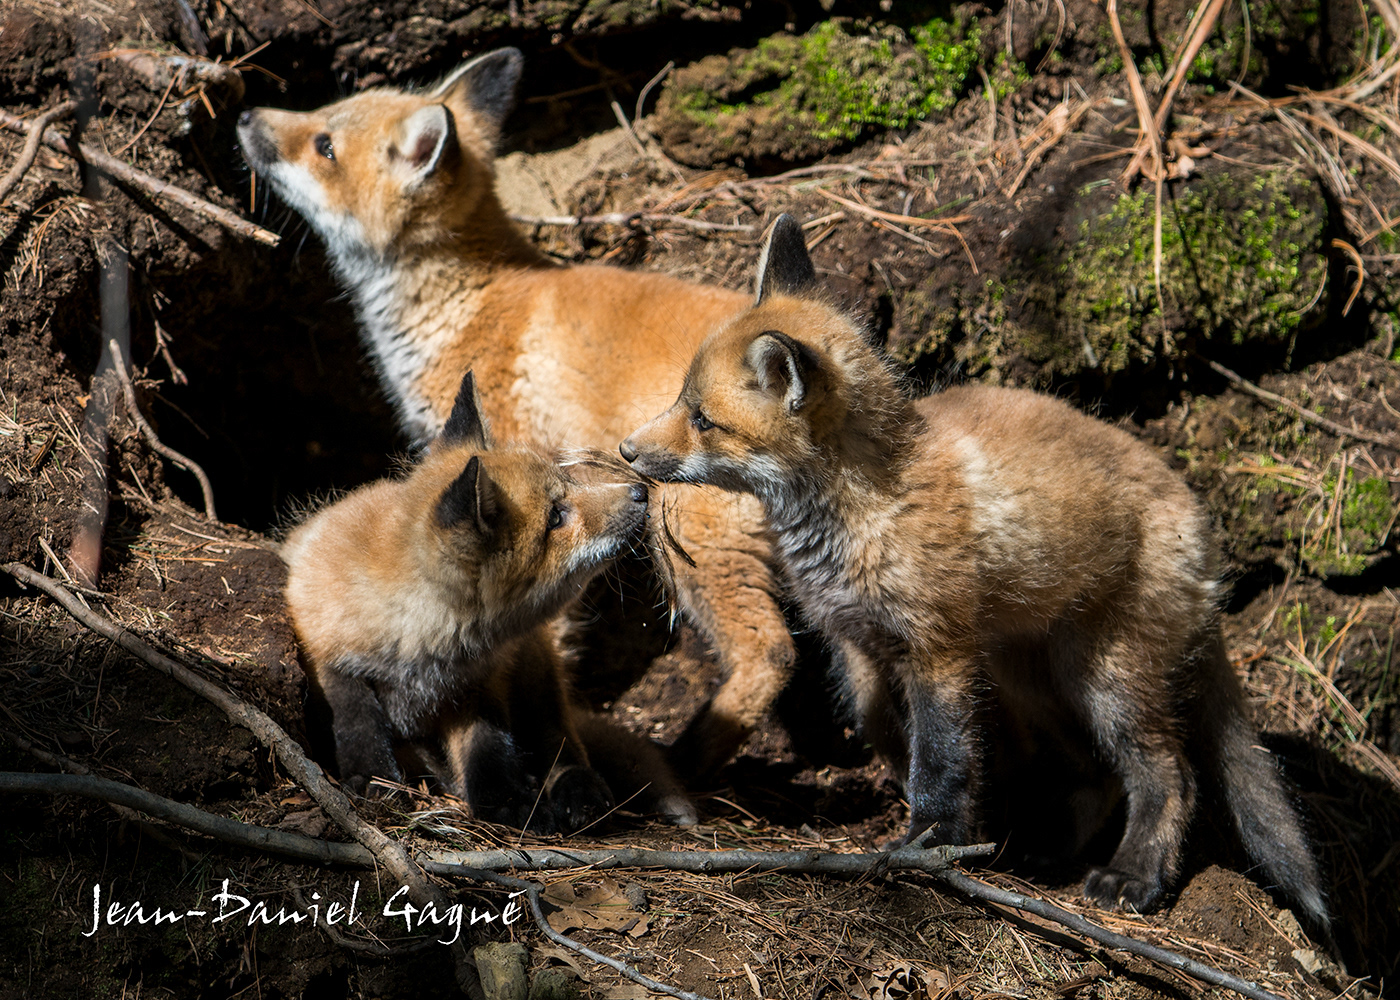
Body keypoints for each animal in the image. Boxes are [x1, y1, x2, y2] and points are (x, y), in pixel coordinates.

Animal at [238, 48, 790, 778]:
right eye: (323, 115)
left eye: (324, 144)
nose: (246, 113)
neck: (465, 304)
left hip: (700, 549)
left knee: (771, 653)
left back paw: (689, 761)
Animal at [282, 369, 696, 832]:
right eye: (555, 516)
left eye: (570, 483)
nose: (641, 492)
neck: (421, 643)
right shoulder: (326, 650)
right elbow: (357, 723)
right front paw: (373, 779)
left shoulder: (479, 685)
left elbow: (487, 747)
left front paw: (505, 800)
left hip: (537, 669)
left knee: (560, 740)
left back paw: (576, 790)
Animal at [620, 215, 1330, 929]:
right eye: (680, 398)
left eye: (703, 420)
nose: (626, 451)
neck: (868, 508)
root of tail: (1199, 517)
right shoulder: (859, 645)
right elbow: (885, 729)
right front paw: (946, 821)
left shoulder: (940, 650)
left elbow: (939, 762)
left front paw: (926, 847)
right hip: (1033, 676)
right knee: (1096, 773)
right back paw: (1045, 851)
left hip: (1109, 681)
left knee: (1169, 772)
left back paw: (1135, 876)